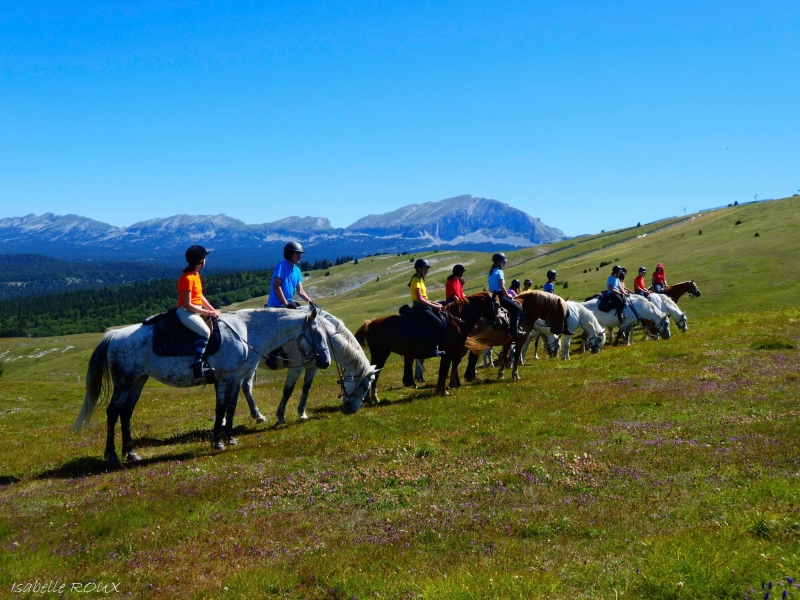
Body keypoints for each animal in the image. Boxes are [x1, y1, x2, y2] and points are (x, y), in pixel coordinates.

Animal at [70, 308, 360, 466]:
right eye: (318, 334)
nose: (325, 361)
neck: (246, 332)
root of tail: (113, 336)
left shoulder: (235, 377)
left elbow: (230, 408)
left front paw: (229, 437)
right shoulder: (226, 377)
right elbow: (221, 408)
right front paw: (217, 441)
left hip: (137, 383)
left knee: (126, 414)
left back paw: (131, 453)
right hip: (124, 383)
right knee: (112, 412)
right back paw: (112, 456)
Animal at [236, 310, 382, 426]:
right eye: (365, 387)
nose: (352, 410)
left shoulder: (313, 367)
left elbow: (306, 388)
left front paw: (302, 413)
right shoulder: (295, 368)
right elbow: (288, 391)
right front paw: (280, 416)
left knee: (246, 387)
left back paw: (257, 416)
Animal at [354, 292, 506, 400]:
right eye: (497, 304)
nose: (501, 322)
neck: (455, 321)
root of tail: (370, 323)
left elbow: (447, 369)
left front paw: (441, 389)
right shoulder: (448, 352)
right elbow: (444, 370)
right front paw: (443, 391)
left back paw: (369, 399)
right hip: (381, 354)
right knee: (373, 374)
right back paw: (373, 398)